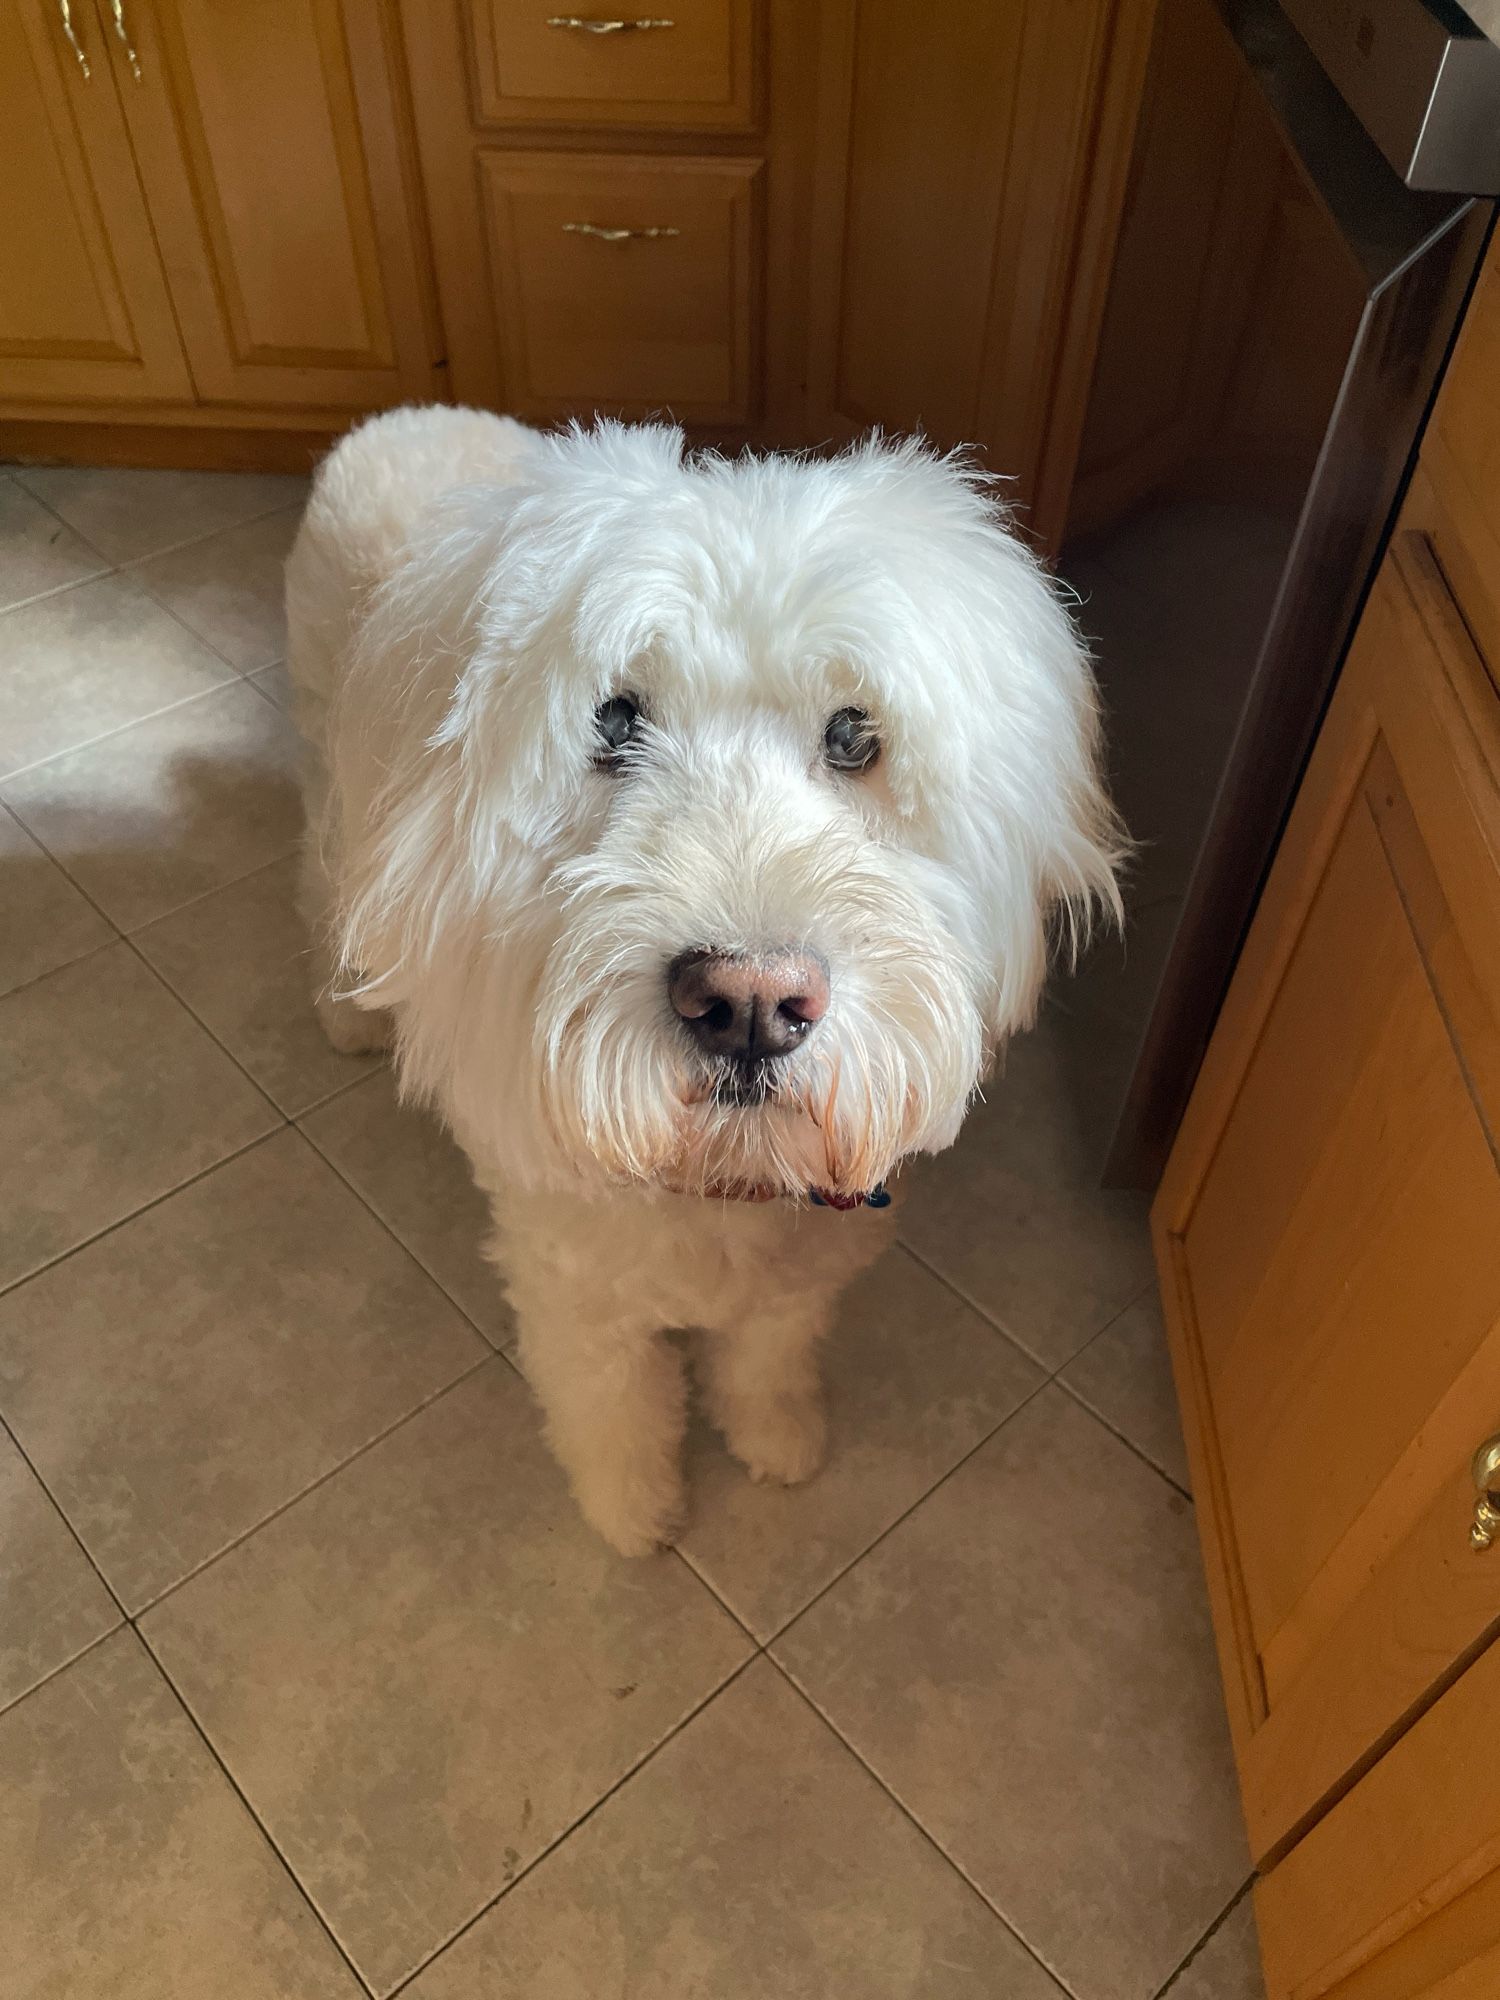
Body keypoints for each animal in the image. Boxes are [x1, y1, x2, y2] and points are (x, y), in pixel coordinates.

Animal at [288, 406, 1120, 1552]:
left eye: (855, 733)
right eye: (611, 722)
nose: (751, 1006)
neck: (718, 1174)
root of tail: (408, 415)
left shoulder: (799, 1272)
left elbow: (770, 1354)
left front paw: (777, 1438)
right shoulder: (569, 1284)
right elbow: (611, 1398)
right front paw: (631, 1508)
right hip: (338, 781)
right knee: (323, 880)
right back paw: (349, 1009)